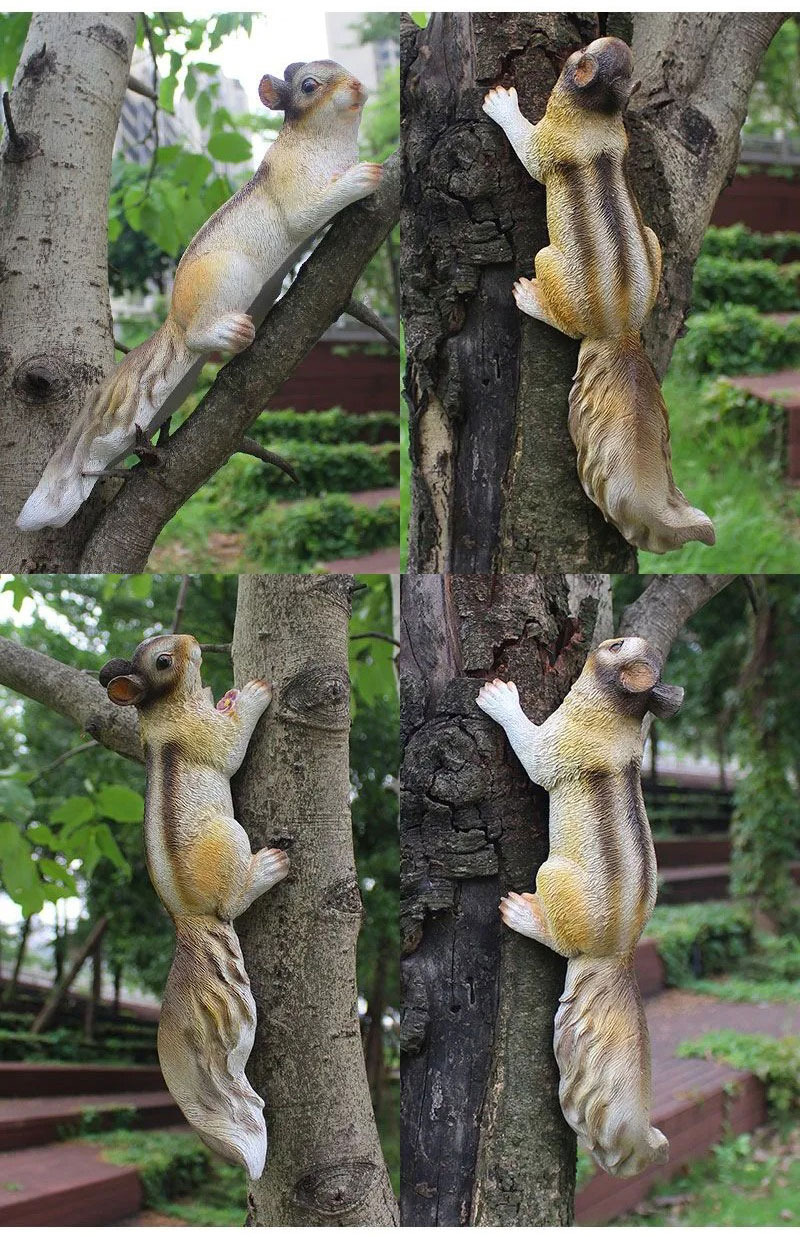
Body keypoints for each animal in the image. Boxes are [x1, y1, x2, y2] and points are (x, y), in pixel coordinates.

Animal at [18, 60, 382, 532]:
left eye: (341, 68)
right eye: (308, 85)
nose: (357, 86)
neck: (329, 143)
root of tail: (176, 320)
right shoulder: (293, 185)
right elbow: (309, 211)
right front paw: (364, 176)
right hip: (226, 277)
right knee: (197, 337)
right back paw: (225, 334)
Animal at [100, 633, 289, 1179]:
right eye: (163, 660)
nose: (189, 640)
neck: (163, 711)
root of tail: (190, 917)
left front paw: (227, 695)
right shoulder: (207, 737)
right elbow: (231, 746)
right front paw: (251, 694)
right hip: (231, 840)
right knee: (234, 901)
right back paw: (269, 867)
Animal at [476, 636, 684, 1177]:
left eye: (614, 646)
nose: (594, 643)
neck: (618, 713)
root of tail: (617, 953)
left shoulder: (559, 741)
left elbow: (532, 753)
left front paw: (499, 696)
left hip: (550, 877)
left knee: (557, 937)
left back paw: (521, 914)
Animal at [482, 36, 715, 555]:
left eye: (577, 58)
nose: (572, 46)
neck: (598, 117)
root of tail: (620, 328)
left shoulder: (548, 141)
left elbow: (527, 149)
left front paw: (501, 103)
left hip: (548, 262)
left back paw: (529, 297)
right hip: (653, 239)